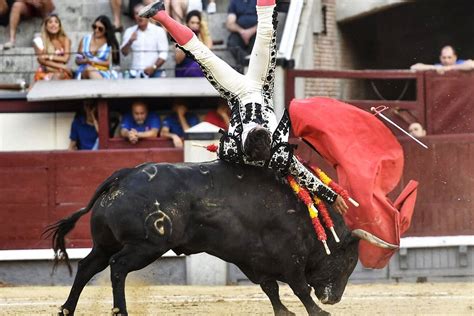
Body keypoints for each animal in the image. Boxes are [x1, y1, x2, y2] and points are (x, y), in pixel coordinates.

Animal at [47, 162, 360, 314]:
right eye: (348, 262)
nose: (334, 299)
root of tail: (122, 176)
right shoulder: (290, 258)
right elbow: (299, 288)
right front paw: (318, 313)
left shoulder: (251, 259)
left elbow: (270, 288)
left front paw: (285, 312)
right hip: (145, 246)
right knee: (118, 267)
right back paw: (119, 311)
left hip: (104, 244)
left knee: (87, 267)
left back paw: (66, 309)